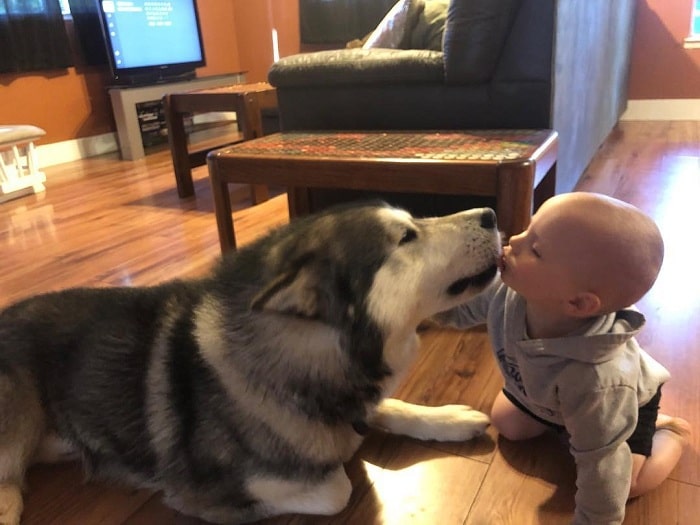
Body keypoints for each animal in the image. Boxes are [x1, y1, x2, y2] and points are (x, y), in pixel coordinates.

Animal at [1, 202, 504, 524]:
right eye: (406, 236)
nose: (491, 215)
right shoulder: (198, 487)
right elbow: (338, 489)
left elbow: (391, 407)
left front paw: (447, 418)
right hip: (17, 426)